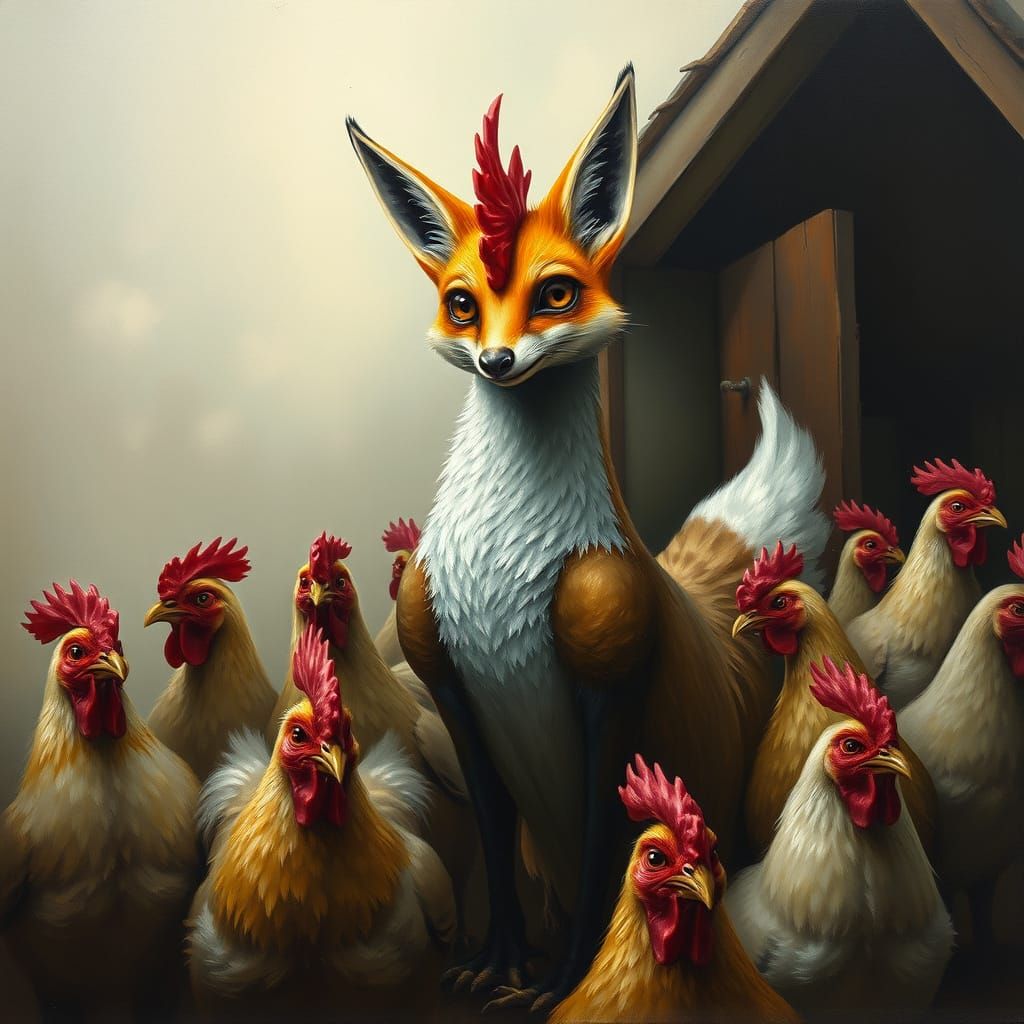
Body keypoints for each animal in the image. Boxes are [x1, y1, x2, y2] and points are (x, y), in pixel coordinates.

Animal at [347, 66, 829, 1010]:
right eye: (462, 304)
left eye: (556, 293)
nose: (497, 363)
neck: (500, 574)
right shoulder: (452, 690)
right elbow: (496, 853)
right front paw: (499, 963)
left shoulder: (612, 689)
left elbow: (612, 861)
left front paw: (562, 985)